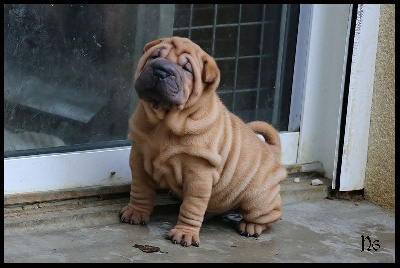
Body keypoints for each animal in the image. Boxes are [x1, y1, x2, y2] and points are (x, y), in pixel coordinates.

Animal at [119, 36, 288, 246]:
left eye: (187, 69)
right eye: (154, 57)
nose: (160, 70)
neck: (164, 121)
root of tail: (272, 152)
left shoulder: (198, 172)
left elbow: (192, 206)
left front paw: (184, 233)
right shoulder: (139, 157)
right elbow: (140, 189)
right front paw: (135, 212)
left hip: (257, 198)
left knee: (270, 214)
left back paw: (251, 226)